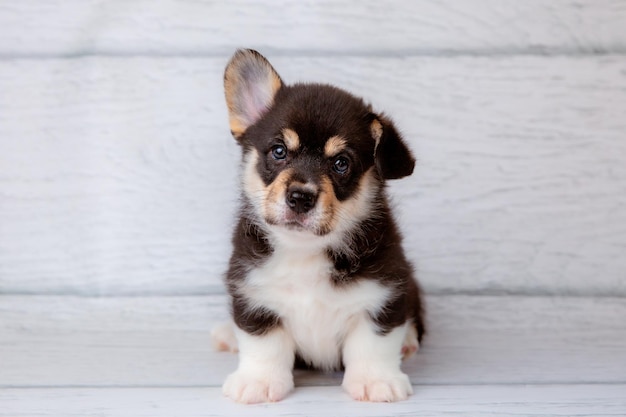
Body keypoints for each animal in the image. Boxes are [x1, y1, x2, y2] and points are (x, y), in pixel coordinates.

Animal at [211, 48, 424, 404]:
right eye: (279, 151)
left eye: (341, 164)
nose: (300, 197)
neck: (304, 250)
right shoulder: (252, 295)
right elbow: (262, 344)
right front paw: (258, 382)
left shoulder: (383, 296)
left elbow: (373, 345)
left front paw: (376, 381)